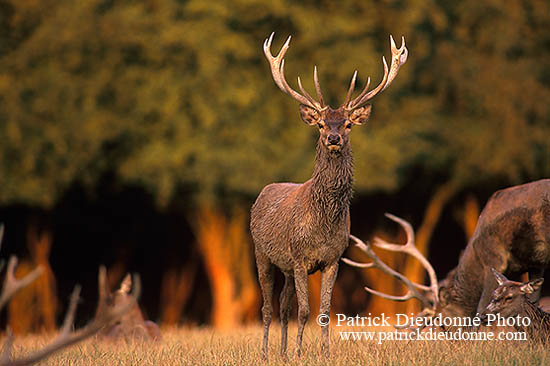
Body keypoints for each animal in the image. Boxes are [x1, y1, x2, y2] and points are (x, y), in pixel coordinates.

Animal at [252, 32, 408, 358]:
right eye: (322, 124)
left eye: (348, 124)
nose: (333, 138)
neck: (322, 225)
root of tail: (264, 191)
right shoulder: (300, 257)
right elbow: (304, 310)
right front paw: (300, 353)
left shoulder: (333, 258)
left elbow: (323, 311)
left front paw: (323, 352)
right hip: (261, 253)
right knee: (267, 308)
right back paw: (266, 352)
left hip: (286, 266)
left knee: (283, 304)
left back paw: (282, 351)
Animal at [344, 180, 550, 326]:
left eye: (443, 324)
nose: (454, 344)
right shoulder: (535, 265)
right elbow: (533, 301)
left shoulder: (493, 259)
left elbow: (481, 308)